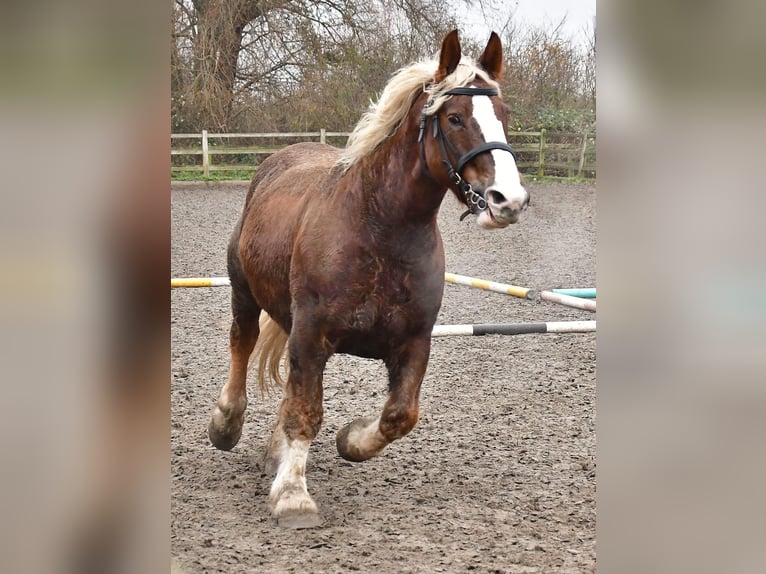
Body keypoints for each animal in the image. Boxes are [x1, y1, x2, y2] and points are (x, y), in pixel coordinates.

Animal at [206, 29, 528, 528]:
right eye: (454, 117)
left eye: (505, 116)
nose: (507, 200)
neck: (380, 229)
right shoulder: (310, 335)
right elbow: (305, 411)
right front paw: (293, 495)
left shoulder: (413, 341)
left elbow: (399, 415)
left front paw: (350, 439)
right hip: (243, 291)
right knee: (241, 344)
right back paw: (226, 423)